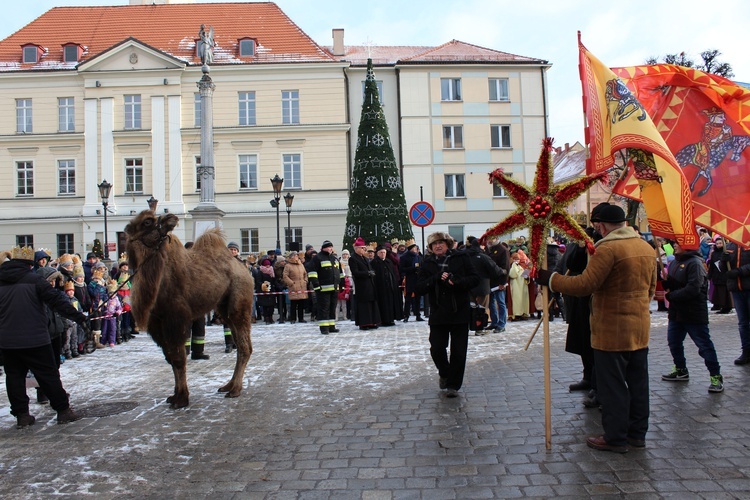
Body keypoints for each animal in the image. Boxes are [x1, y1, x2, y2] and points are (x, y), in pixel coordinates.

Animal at [122, 209, 254, 408]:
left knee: (245, 346)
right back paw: (228, 385)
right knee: (239, 343)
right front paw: (175, 395)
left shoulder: (175, 318)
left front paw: (182, 398)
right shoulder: (157, 324)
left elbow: (178, 358)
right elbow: (170, 357)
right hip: (224, 308)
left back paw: (235, 389)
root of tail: (245, 270)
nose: (171, 217)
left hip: (239, 303)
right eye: (147, 222)